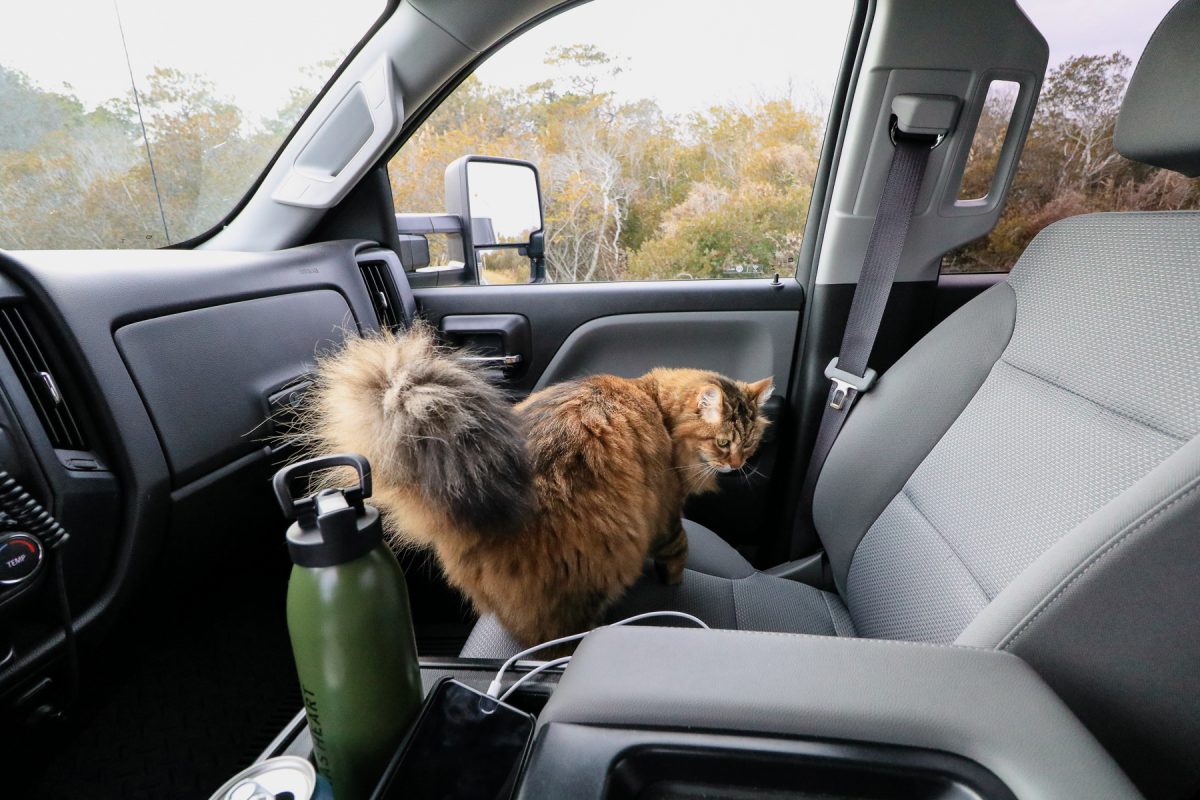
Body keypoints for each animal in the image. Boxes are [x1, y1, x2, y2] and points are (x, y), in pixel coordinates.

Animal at [304, 321, 772, 647]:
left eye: (750, 444)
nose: (738, 464)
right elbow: (678, 552)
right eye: (724, 442)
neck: (657, 405)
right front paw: (673, 584)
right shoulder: (666, 512)